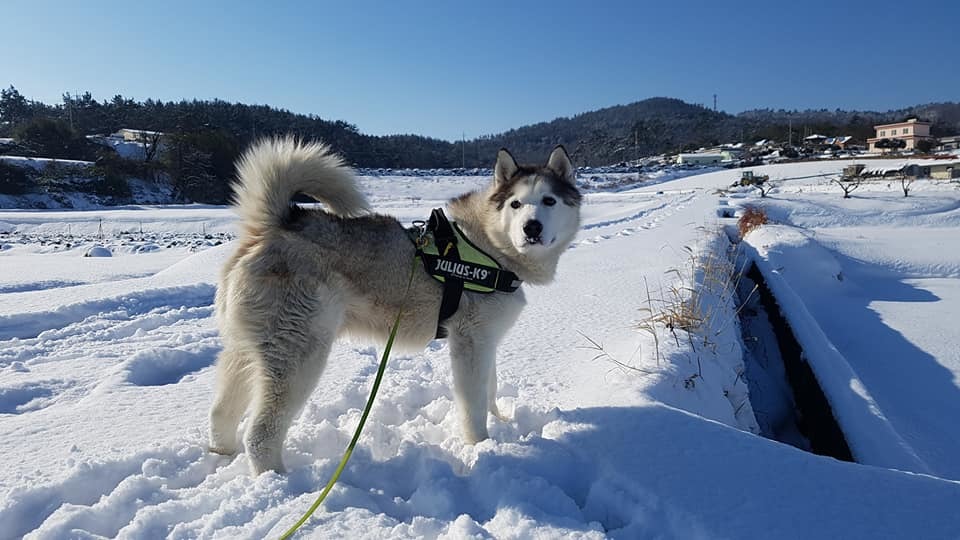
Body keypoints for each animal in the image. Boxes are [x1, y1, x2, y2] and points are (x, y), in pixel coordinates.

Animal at [207, 137, 580, 474]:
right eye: (515, 204)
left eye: (549, 200)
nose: (532, 228)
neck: (490, 245)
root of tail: (274, 226)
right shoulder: (470, 343)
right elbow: (473, 407)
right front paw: (482, 447)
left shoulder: (486, 342)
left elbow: (490, 389)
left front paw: (500, 424)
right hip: (300, 357)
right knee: (260, 435)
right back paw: (282, 483)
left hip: (248, 352)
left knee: (221, 413)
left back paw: (223, 455)